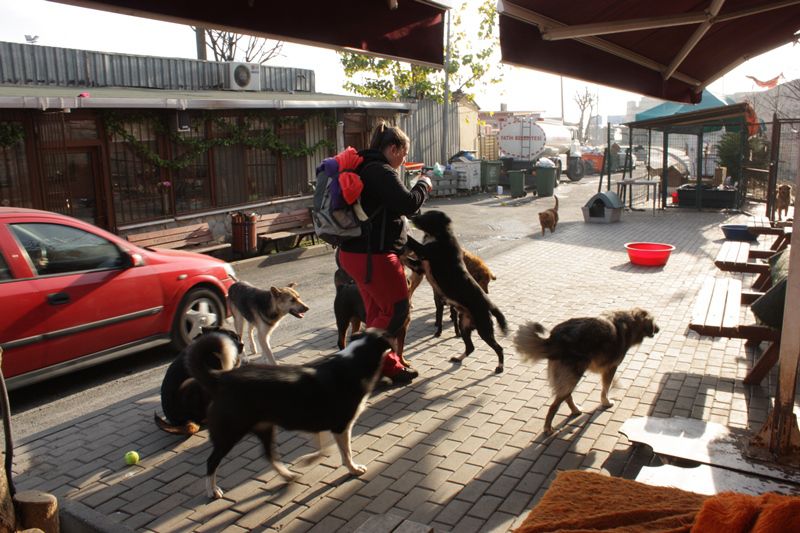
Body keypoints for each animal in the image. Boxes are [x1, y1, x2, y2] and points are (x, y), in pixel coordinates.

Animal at [406, 210, 506, 372]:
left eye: (427, 216)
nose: (413, 217)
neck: (440, 235)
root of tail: (490, 305)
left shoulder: (426, 252)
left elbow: (412, 241)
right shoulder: (419, 267)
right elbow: (407, 260)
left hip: (484, 329)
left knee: (499, 348)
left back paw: (500, 366)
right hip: (464, 324)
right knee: (470, 347)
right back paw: (458, 358)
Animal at [516, 308, 660, 432]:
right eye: (653, 321)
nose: (659, 329)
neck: (631, 321)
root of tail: (553, 339)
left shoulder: (607, 368)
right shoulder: (611, 367)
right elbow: (605, 389)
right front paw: (606, 402)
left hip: (569, 378)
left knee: (566, 396)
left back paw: (575, 410)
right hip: (573, 376)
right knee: (555, 405)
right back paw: (548, 428)